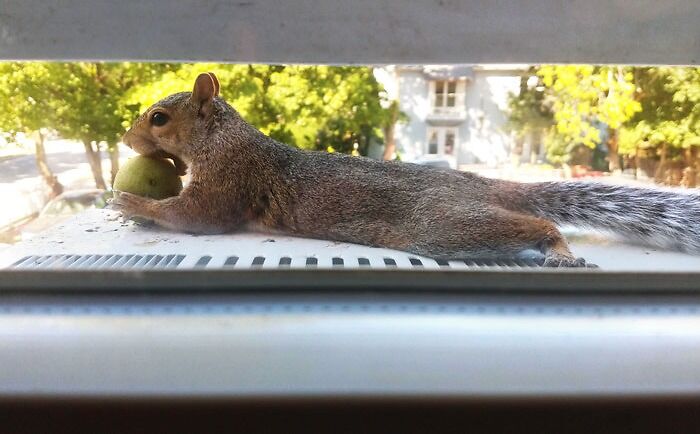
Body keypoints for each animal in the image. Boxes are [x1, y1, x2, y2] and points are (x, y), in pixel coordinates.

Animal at [114, 72, 700, 267]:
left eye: (159, 118)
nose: (125, 140)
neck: (221, 137)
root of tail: (473, 182)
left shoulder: (230, 176)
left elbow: (199, 217)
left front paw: (130, 202)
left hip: (445, 224)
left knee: (536, 224)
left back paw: (559, 249)